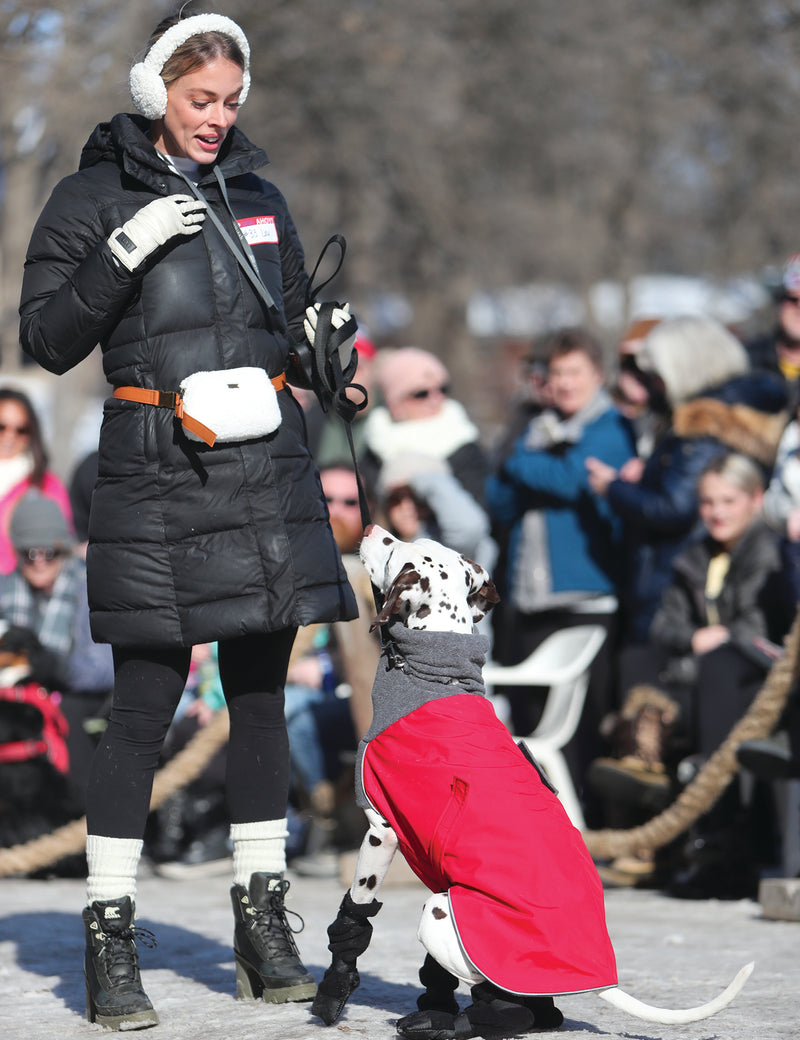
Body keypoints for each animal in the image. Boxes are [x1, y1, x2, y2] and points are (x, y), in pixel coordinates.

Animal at [310, 528, 749, 1040]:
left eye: (395, 549)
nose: (368, 531)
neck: (432, 673)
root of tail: (594, 974)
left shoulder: (381, 832)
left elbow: (355, 912)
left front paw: (336, 984)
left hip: (440, 913)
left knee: (505, 1003)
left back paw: (457, 1022)